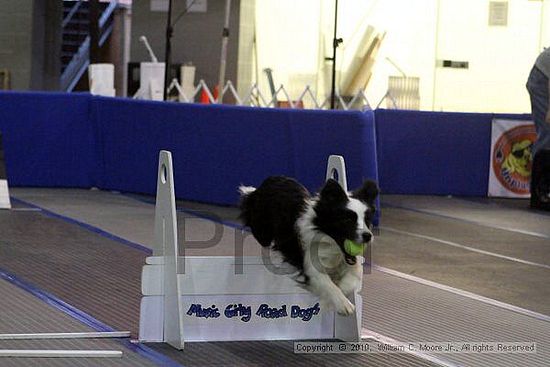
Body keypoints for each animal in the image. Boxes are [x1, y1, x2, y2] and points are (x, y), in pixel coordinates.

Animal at [242, 178, 380, 316]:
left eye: (367, 220)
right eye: (347, 220)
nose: (368, 236)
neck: (330, 244)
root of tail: (267, 182)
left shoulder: (350, 261)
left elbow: (354, 274)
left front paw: (341, 289)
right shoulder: (312, 268)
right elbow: (329, 285)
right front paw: (343, 303)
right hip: (261, 230)